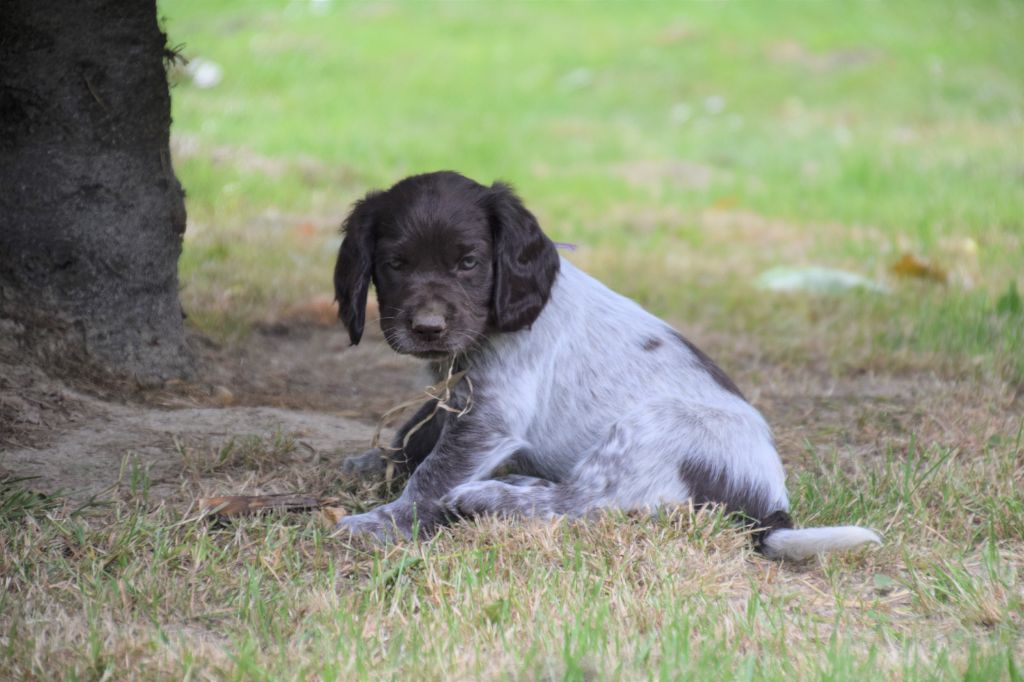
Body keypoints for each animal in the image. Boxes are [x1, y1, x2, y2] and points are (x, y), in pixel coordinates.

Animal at [332, 171, 881, 560]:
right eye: (395, 265)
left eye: (468, 263)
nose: (426, 327)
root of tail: (770, 506)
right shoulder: (454, 392)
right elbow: (416, 434)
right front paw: (376, 466)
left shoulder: (489, 416)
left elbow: (434, 475)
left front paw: (384, 521)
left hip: (649, 428)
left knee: (583, 503)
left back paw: (492, 497)